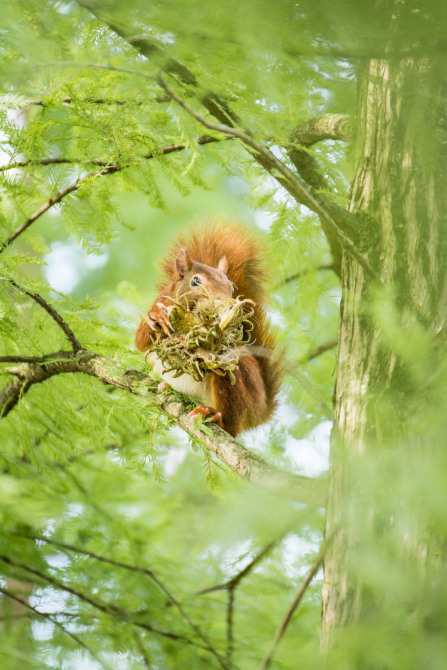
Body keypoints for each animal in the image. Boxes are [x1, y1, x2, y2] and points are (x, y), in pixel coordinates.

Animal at [134, 223, 284, 438]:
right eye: (196, 281)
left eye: (231, 287)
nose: (226, 304)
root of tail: (260, 410)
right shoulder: (160, 301)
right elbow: (139, 341)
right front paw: (158, 317)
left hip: (237, 384)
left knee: (230, 426)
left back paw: (212, 414)